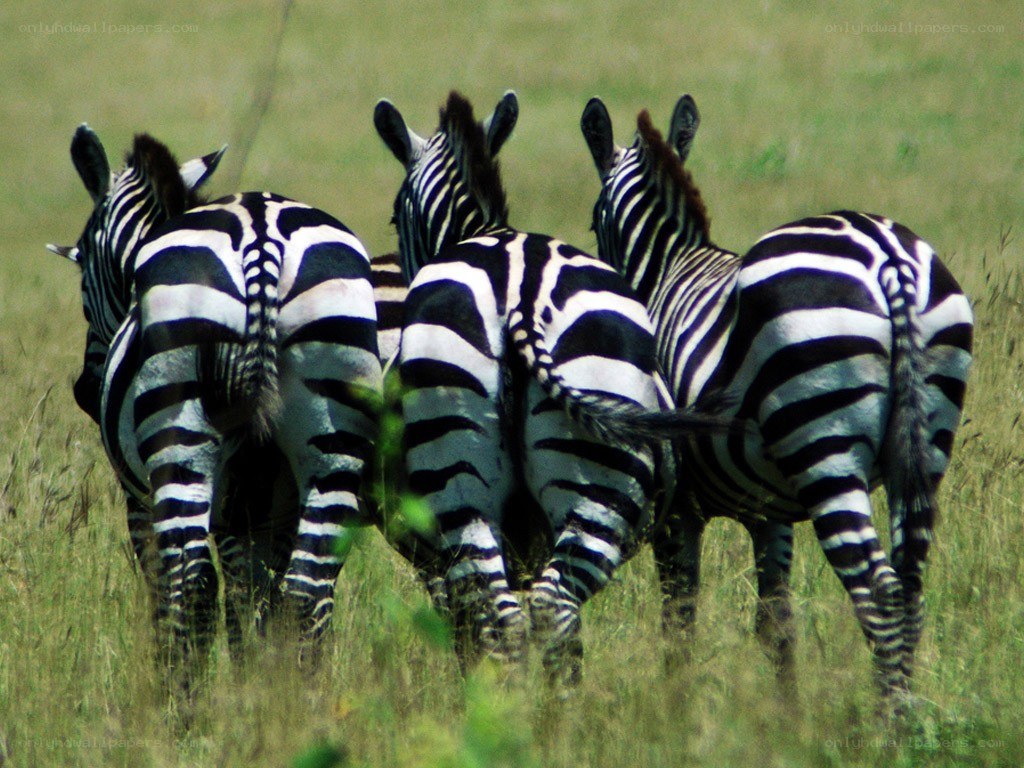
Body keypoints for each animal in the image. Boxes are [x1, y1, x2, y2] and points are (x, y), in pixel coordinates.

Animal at [49, 126, 382, 679]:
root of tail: (261, 236)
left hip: (181, 433)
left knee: (193, 584)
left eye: (82, 271)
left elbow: (181, 590)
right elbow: (259, 599)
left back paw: (178, 699)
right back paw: (295, 699)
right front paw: (257, 677)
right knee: (306, 590)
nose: (84, 392)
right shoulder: (267, 507)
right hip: (334, 430)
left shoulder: (143, 498)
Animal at [580, 94, 974, 701]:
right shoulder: (768, 510)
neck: (669, 269)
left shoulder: (678, 509)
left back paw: (890, 721)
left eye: (592, 221)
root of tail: (886, 254)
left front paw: (676, 709)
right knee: (909, 589)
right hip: (925, 444)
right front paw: (786, 715)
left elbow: (679, 622)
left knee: (879, 594)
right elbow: (776, 622)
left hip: (824, 446)